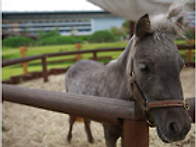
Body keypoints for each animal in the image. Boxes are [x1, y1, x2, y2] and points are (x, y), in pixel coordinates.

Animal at [65, 3, 191, 147]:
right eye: (144, 67)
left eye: (181, 65)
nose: (180, 127)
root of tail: (75, 65)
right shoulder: (110, 133)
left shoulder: (125, 133)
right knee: (71, 121)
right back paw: (68, 138)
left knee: (86, 121)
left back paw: (91, 139)